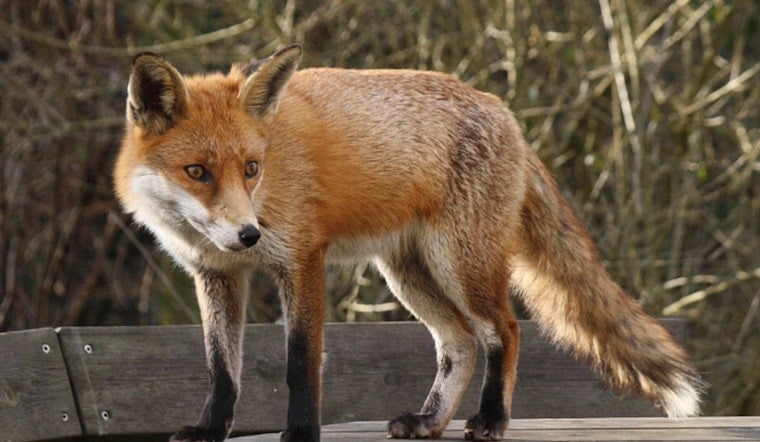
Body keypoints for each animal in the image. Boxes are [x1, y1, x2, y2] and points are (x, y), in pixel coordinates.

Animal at [114, 44, 704, 441]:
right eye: (197, 171)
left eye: (251, 168)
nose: (248, 233)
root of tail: (503, 111)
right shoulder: (217, 274)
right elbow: (221, 368)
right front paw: (210, 428)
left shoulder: (301, 259)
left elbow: (300, 363)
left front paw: (300, 433)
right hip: (408, 274)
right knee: (459, 343)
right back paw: (430, 420)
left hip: (460, 263)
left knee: (504, 331)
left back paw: (492, 419)